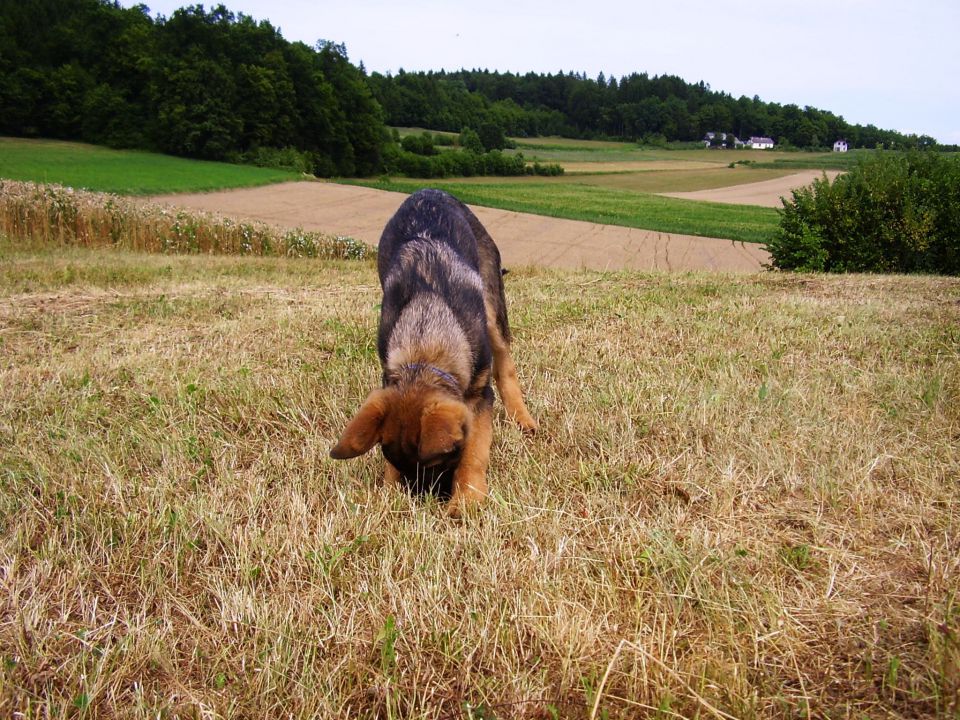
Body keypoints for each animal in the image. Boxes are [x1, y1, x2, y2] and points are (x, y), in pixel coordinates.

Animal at [332, 188, 536, 516]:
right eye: (395, 460)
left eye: (439, 461)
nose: (425, 498)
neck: (425, 345)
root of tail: (429, 190)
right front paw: (389, 494)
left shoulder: (479, 396)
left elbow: (475, 452)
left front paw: (465, 501)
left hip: (493, 307)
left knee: (506, 366)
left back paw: (524, 419)